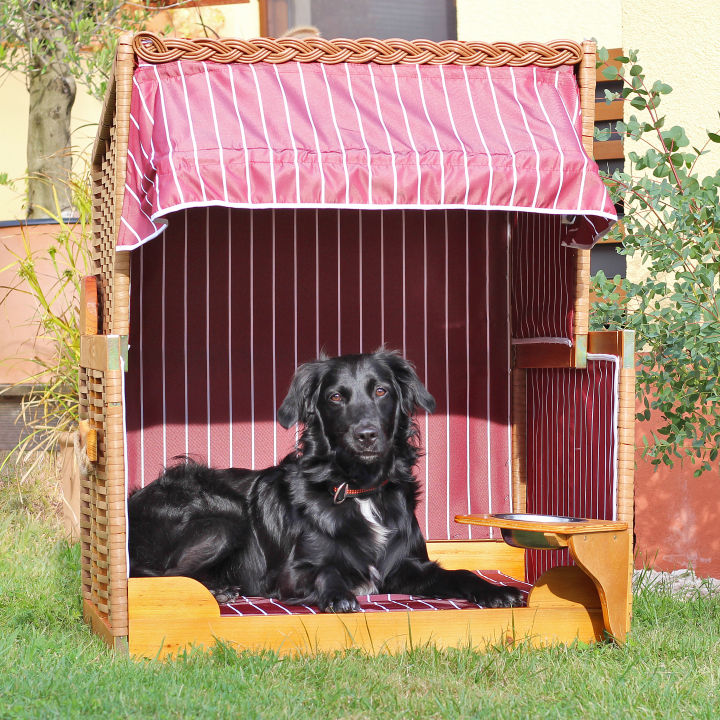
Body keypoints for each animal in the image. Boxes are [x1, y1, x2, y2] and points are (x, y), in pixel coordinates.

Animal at [128, 352, 524, 612]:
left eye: (381, 391)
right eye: (335, 397)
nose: (366, 435)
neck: (360, 490)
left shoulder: (407, 567)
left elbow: (462, 573)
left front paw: (495, 591)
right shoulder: (289, 573)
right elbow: (326, 570)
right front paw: (338, 595)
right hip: (225, 516)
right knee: (155, 574)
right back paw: (219, 590)